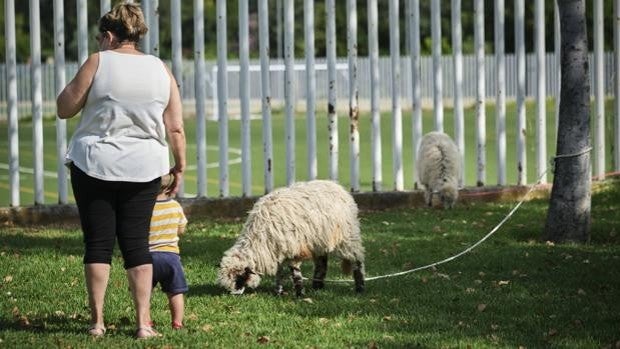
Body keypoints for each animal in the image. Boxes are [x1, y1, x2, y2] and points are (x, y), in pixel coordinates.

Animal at [217, 179, 366, 296]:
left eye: (239, 277)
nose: (234, 295)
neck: (259, 239)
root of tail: (337, 186)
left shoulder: (293, 248)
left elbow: (295, 273)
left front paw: (299, 293)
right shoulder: (277, 250)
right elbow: (279, 273)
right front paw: (279, 292)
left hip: (347, 236)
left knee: (357, 260)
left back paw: (360, 287)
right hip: (320, 239)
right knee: (322, 263)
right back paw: (317, 286)